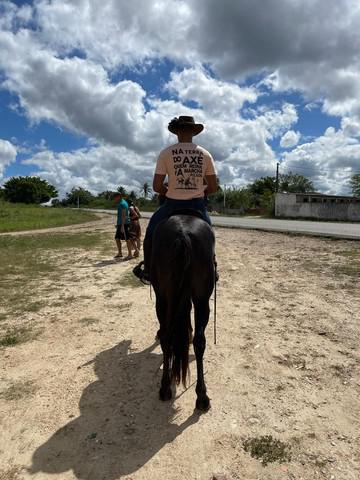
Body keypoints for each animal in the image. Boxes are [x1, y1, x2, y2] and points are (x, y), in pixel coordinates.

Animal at [150, 214, 215, 412]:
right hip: (201, 299)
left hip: (163, 298)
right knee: (198, 342)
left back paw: (166, 388)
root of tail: (182, 233)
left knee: (168, 336)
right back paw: (201, 396)